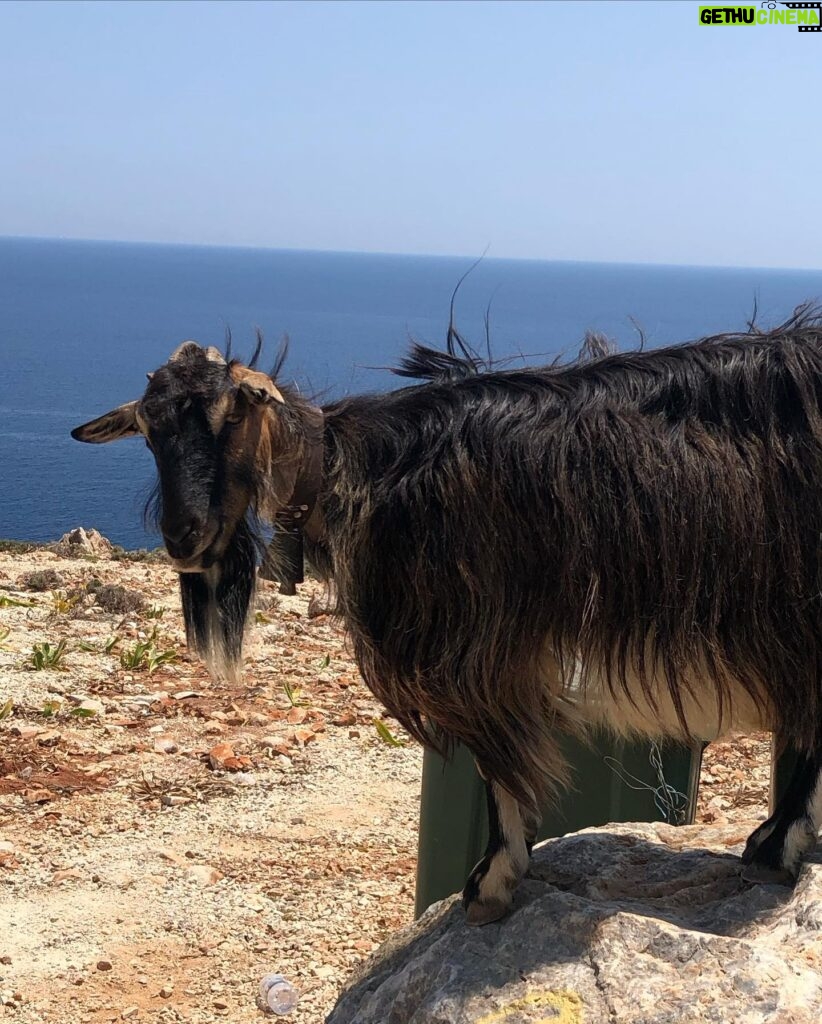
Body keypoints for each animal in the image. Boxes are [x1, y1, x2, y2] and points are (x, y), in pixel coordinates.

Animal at [70, 307, 822, 925]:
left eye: (231, 412)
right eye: (148, 432)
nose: (184, 537)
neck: (361, 473)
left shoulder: (476, 647)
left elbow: (498, 767)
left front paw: (491, 880)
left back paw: (774, 845)